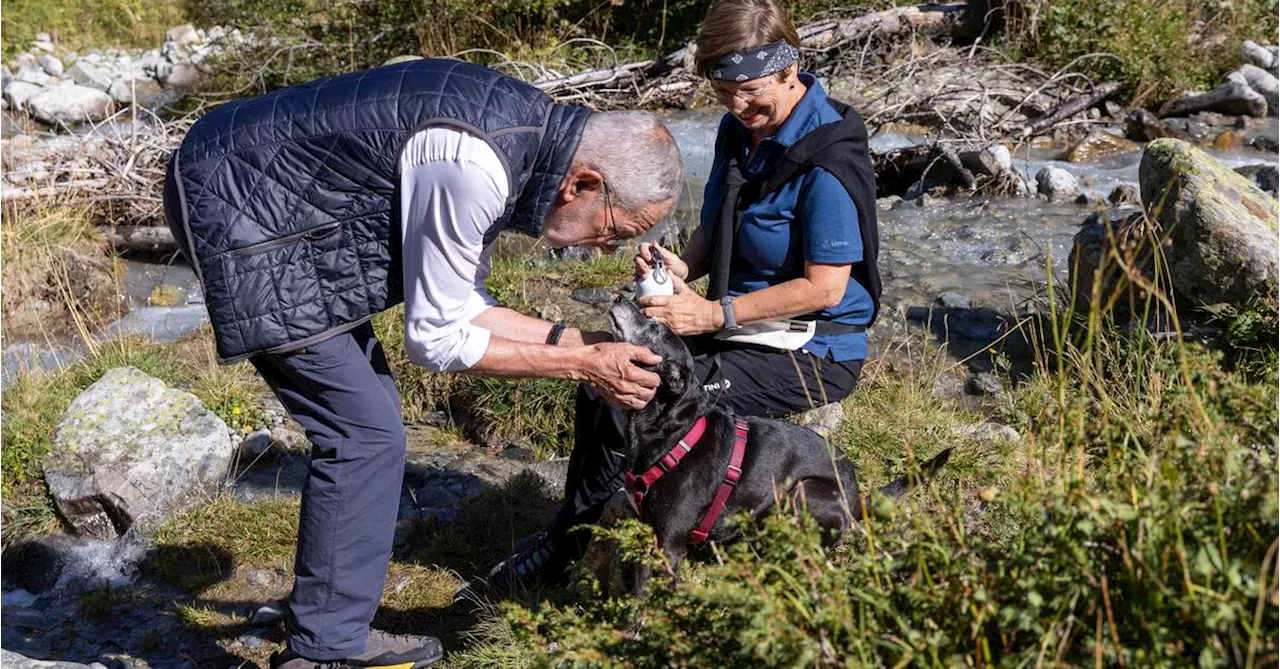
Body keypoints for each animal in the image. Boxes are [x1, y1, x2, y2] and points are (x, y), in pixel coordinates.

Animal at [609, 295, 952, 588]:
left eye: (655, 327)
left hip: (802, 492)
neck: (671, 434)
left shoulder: (667, 545)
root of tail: (857, 500)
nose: (620, 296)